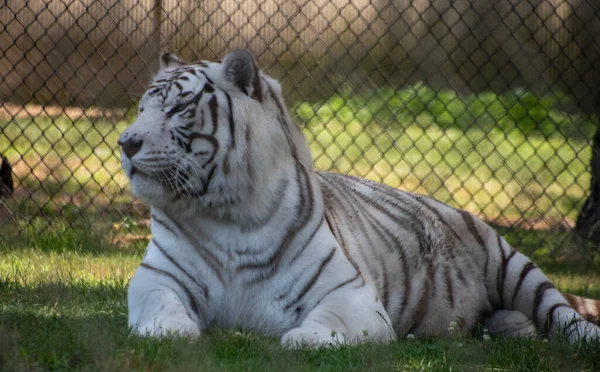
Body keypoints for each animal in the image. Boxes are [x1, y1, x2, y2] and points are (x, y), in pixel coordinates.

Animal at [120, 48, 600, 346]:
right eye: (142, 109)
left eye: (178, 109)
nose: (125, 142)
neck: (227, 216)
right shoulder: (157, 279)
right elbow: (161, 311)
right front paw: (171, 332)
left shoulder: (350, 295)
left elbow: (322, 327)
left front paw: (302, 338)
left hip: (511, 262)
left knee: (561, 312)